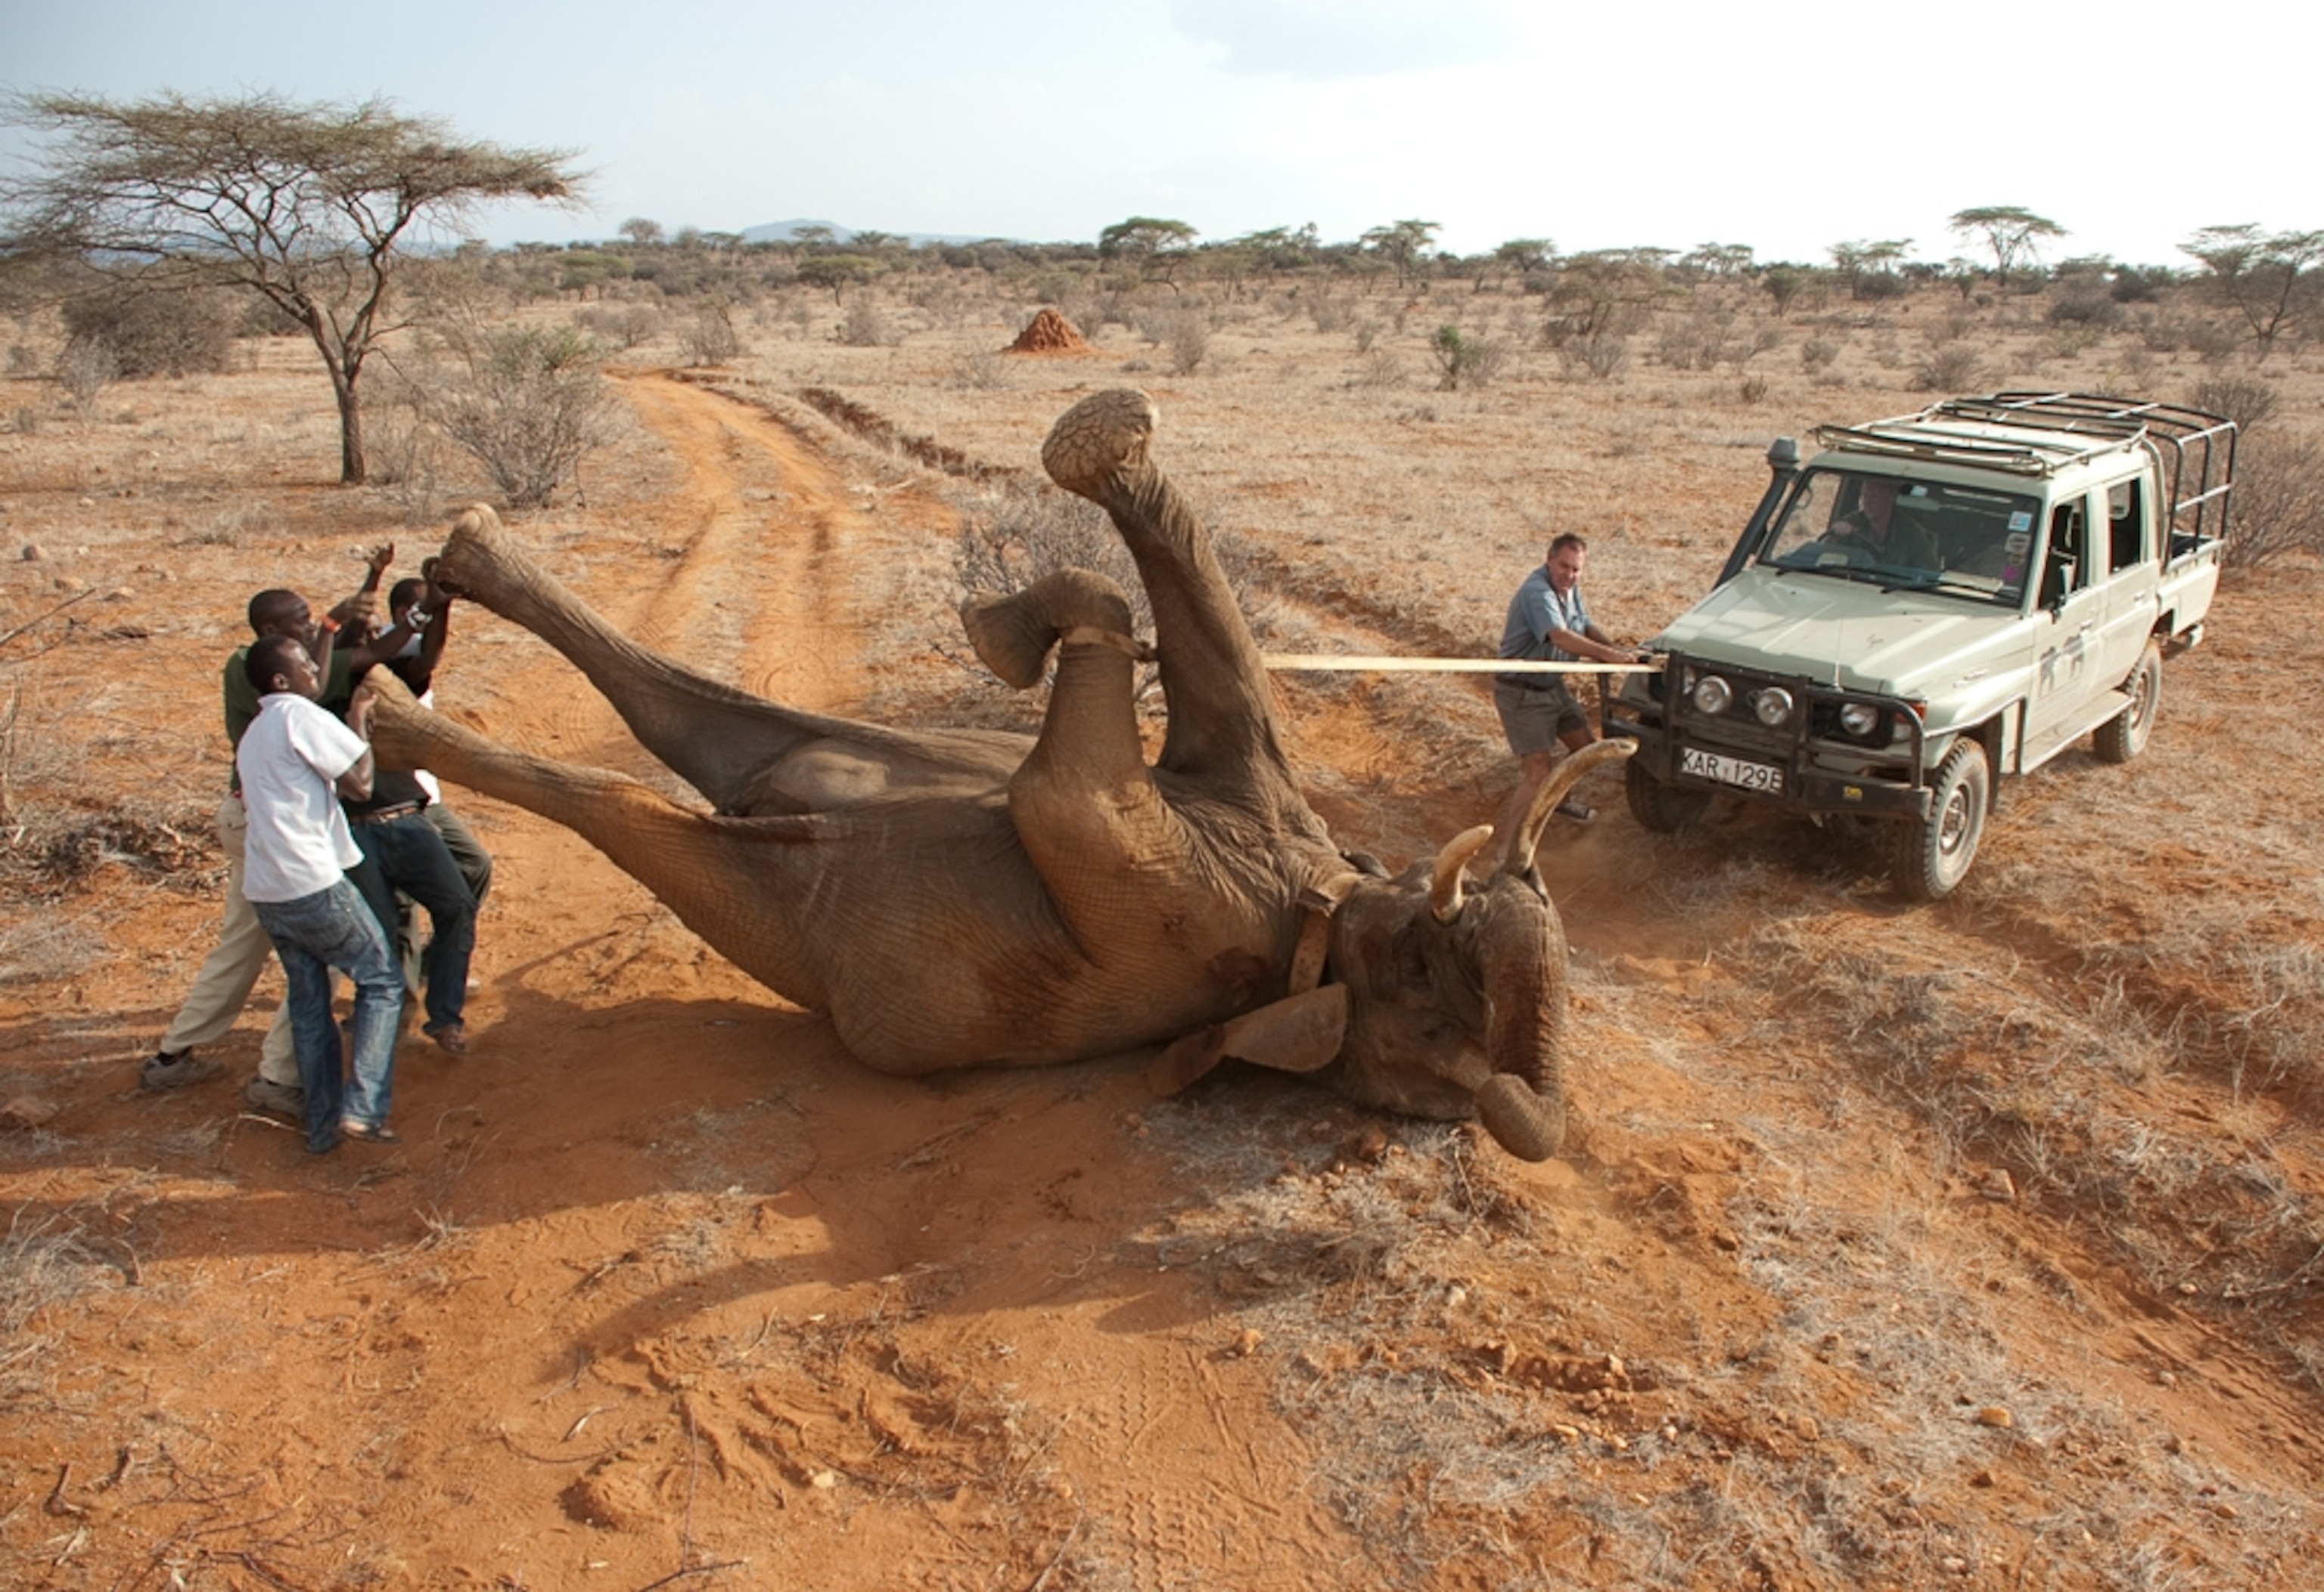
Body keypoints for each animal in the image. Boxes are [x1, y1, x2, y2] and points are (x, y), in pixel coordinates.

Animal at [369, 389, 1630, 1160]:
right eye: (1427, 959)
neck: (1315, 906)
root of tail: (761, 815)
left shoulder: (1174, 907)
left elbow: (1056, 779)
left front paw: (1019, 614)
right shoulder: (1246, 784)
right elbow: (1181, 638)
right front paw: (1022, 595)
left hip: (771, 903)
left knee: (632, 801)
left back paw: (384, 719)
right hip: (824, 746)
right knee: (693, 713)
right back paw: (464, 557)